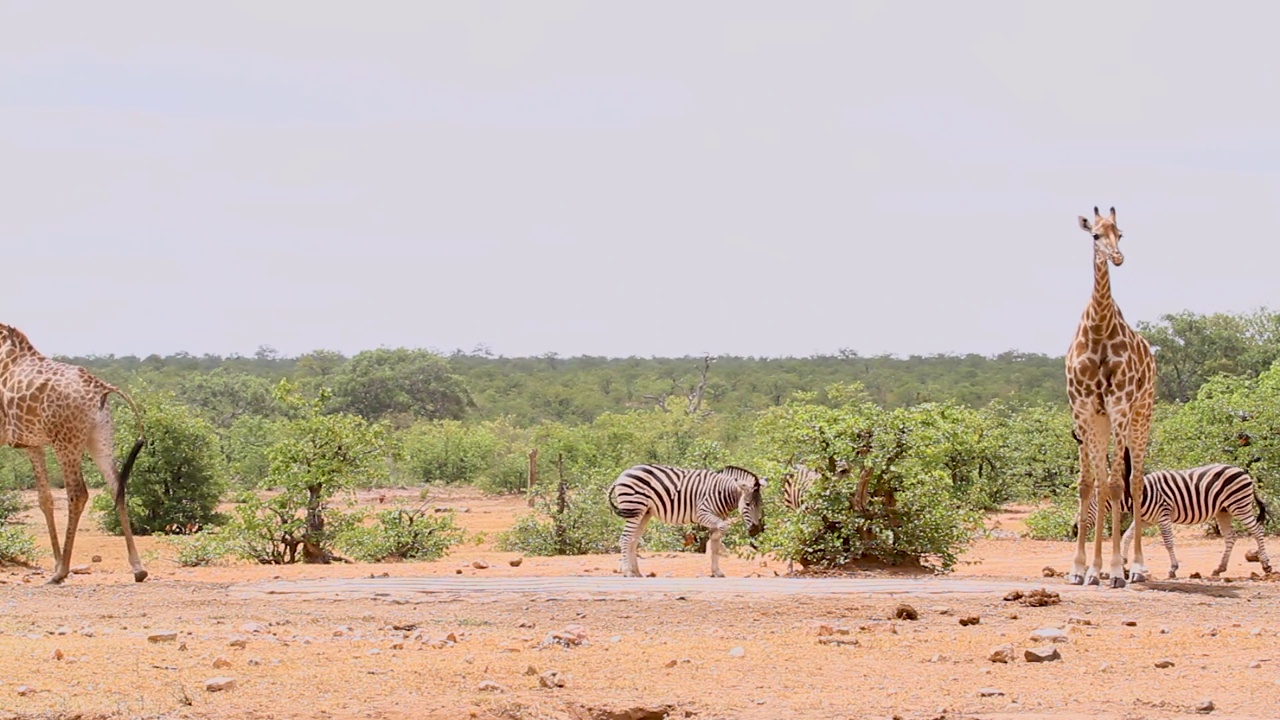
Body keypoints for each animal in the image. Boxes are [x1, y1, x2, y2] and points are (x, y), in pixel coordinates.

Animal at [0, 322, 147, 579]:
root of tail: (101, 387)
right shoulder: (33, 444)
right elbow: (45, 499)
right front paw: (55, 561)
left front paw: (57, 565)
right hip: (99, 438)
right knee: (117, 487)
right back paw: (138, 569)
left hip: (66, 441)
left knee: (78, 494)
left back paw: (61, 573)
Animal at [604, 466, 762, 576]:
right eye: (747, 504)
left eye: (761, 504)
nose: (755, 530)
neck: (721, 493)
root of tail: (622, 475)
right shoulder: (703, 513)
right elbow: (721, 531)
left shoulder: (715, 518)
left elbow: (715, 542)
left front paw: (716, 571)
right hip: (634, 508)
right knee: (625, 538)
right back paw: (627, 572)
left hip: (644, 513)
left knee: (633, 540)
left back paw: (636, 572)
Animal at [1059, 204, 1162, 586]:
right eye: (1094, 235)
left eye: (1121, 232)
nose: (1116, 257)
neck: (1100, 326)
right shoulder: (1083, 409)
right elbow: (1089, 484)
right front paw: (1081, 568)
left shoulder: (1118, 405)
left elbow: (1118, 485)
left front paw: (1117, 569)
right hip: (1102, 421)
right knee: (1104, 482)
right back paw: (1097, 568)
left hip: (1141, 414)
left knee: (1135, 480)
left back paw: (1137, 567)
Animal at [1075, 466, 1274, 576]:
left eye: (1087, 504)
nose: (1076, 527)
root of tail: (1243, 471)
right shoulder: (1146, 520)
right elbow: (1127, 536)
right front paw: (1123, 562)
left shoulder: (1162, 516)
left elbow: (1168, 541)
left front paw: (1173, 568)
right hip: (1224, 511)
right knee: (1231, 537)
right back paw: (1220, 568)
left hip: (1239, 505)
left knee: (1257, 530)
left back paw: (1266, 565)